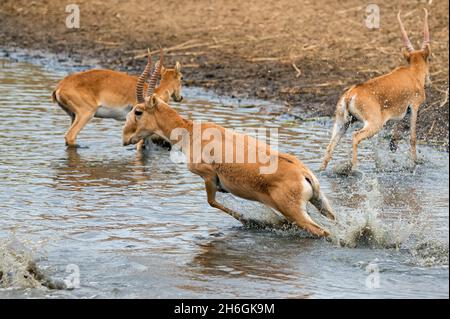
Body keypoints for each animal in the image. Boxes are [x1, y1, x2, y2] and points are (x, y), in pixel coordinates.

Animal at [53, 49, 185, 149]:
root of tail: (60, 86)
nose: (180, 98)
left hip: (73, 116)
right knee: (70, 136)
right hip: (86, 114)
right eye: (182, 77)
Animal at [320, 8, 432, 171]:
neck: (413, 74)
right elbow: (412, 137)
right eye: (429, 59)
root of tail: (350, 94)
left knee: (330, 147)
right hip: (374, 124)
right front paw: (414, 162)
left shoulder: (401, 114)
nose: (429, 80)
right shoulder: (414, 107)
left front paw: (392, 148)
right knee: (355, 137)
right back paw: (354, 168)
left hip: (342, 123)